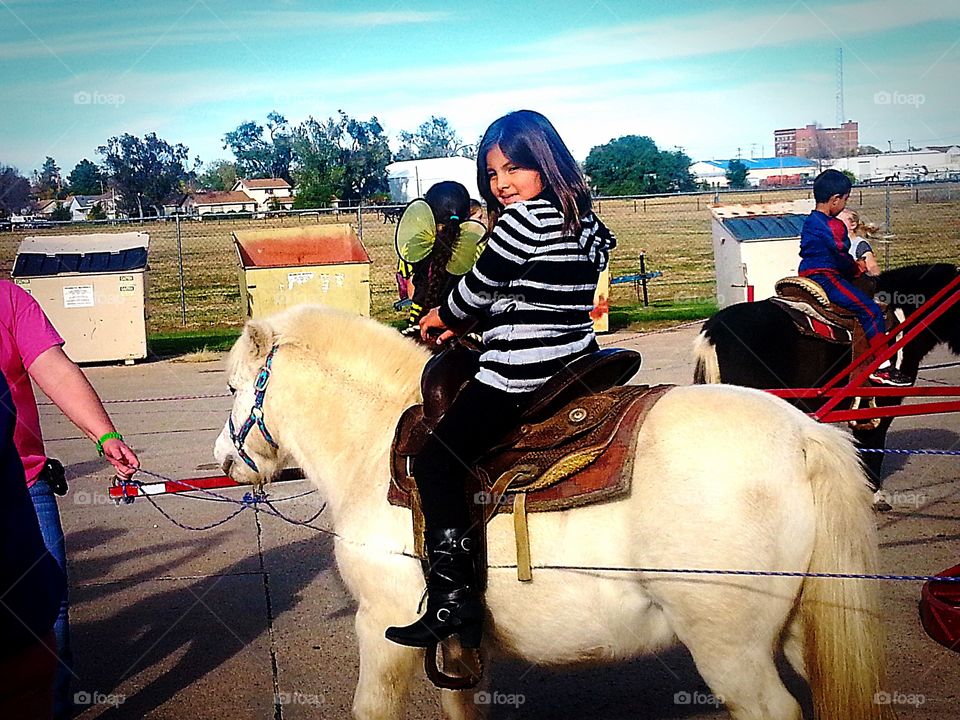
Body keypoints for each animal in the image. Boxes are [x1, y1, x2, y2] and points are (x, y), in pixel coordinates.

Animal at [214, 306, 888, 720]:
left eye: (234, 388)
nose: (224, 457)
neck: (378, 443)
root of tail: (804, 434)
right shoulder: (456, 646)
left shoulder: (383, 623)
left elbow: (371, 707)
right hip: (800, 627)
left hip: (730, 648)